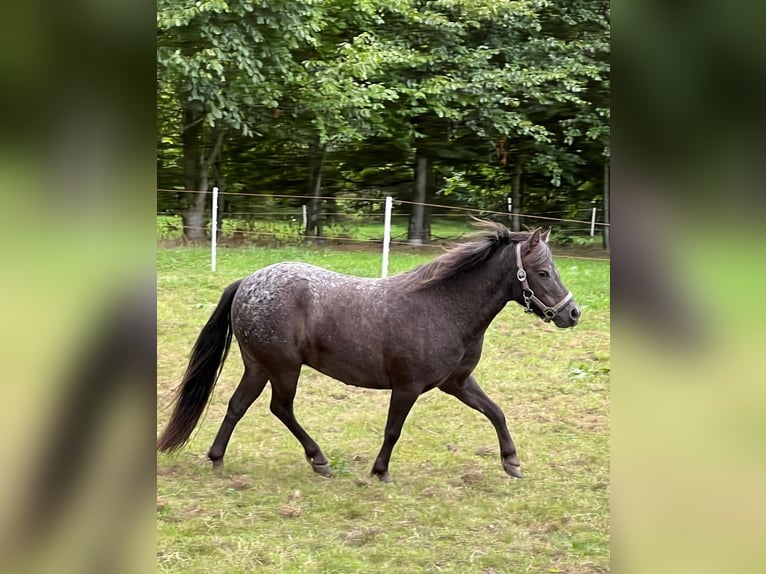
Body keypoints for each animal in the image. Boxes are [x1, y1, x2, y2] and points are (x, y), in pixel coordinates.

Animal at [157, 221, 580, 482]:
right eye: (543, 272)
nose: (572, 313)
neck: (442, 306)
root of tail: (247, 282)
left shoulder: (457, 382)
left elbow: (495, 412)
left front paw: (512, 462)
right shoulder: (408, 387)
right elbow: (393, 429)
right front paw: (380, 471)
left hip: (259, 366)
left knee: (238, 406)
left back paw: (218, 458)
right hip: (283, 368)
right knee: (280, 408)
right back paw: (319, 459)